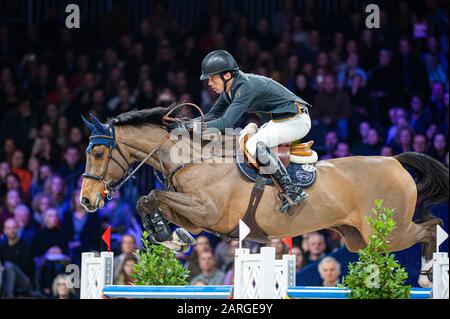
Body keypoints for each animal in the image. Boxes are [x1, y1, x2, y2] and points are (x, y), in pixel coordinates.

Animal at [79, 108, 448, 290]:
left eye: (97, 153)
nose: (85, 201)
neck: (194, 159)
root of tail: (394, 161)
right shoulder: (194, 216)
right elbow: (149, 200)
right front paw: (172, 237)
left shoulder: (207, 212)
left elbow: (152, 195)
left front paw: (166, 236)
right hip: (360, 239)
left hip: (390, 231)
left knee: (432, 226)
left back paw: (427, 274)